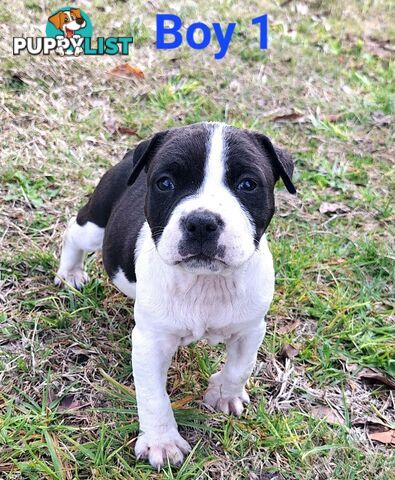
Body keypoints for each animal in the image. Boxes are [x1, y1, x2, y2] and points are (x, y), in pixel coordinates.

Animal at [55, 122, 296, 470]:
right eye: (165, 183)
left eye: (248, 185)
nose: (202, 222)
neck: (206, 282)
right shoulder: (150, 343)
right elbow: (153, 396)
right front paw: (162, 443)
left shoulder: (251, 329)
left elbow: (241, 367)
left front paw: (224, 395)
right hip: (96, 223)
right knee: (74, 234)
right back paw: (70, 273)